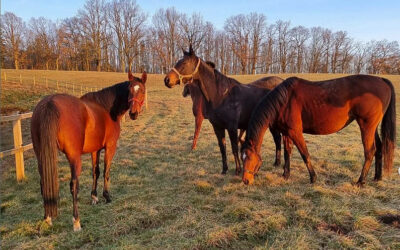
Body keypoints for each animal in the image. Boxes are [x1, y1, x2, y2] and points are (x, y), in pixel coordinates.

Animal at [30, 70, 147, 230]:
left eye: (142, 90)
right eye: (129, 90)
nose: (133, 114)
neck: (106, 109)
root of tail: (49, 104)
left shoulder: (95, 150)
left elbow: (95, 172)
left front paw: (94, 197)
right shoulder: (110, 147)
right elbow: (106, 172)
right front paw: (107, 196)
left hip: (40, 155)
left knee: (43, 183)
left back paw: (47, 218)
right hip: (74, 157)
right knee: (74, 185)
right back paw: (76, 221)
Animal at [165, 46, 284, 176]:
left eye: (184, 63)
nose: (167, 80)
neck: (221, 95)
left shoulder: (232, 128)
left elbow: (234, 148)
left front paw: (238, 170)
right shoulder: (218, 127)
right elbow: (222, 148)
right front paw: (224, 169)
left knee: (278, 139)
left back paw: (277, 163)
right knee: (277, 139)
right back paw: (277, 163)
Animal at [239, 75, 396, 187]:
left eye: (250, 158)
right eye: (242, 157)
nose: (245, 181)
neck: (284, 101)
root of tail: (381, 80)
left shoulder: (295, 132)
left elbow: (305, 154)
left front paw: (313, 178)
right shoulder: (287, 132)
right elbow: (287, 152)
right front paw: (285, 175)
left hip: (366, 126)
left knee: (369, 151)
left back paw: (360, 181)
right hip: (372, 127)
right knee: (379, 148)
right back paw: (377, 177)